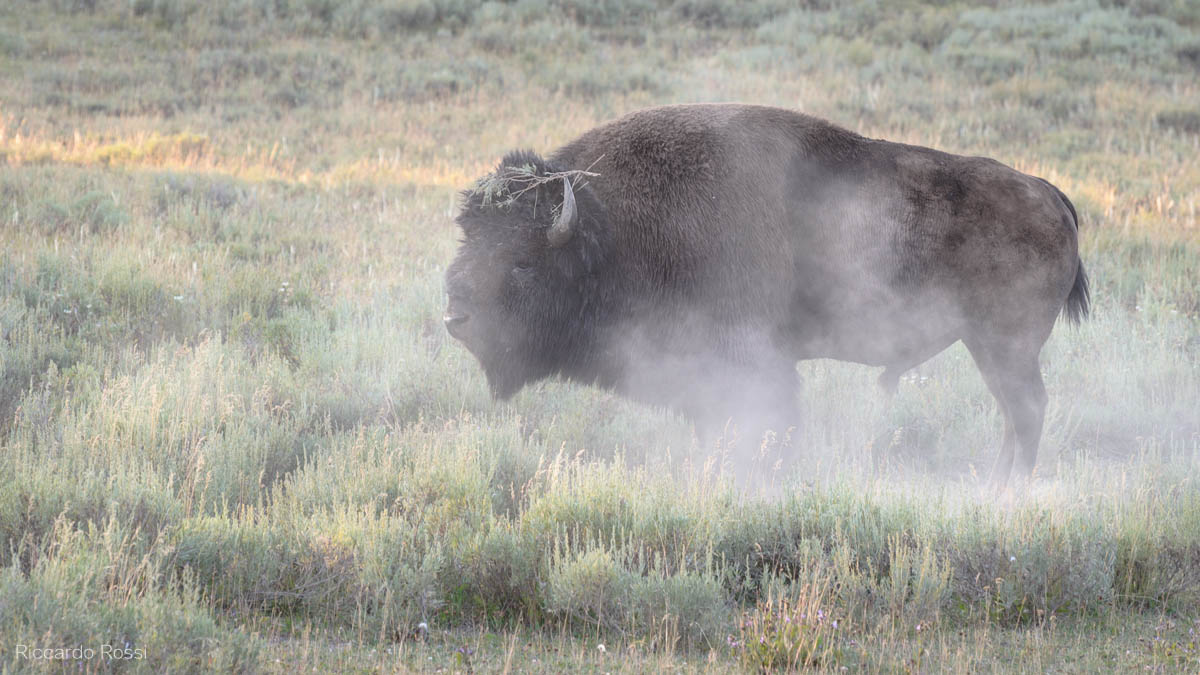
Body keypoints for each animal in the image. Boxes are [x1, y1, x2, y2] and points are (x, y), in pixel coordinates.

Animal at [444, 103, 1089, 488]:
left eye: (523, 263)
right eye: (468, 238)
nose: (456, 316)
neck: (608, 225)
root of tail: (1050, 194)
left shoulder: (746, 363)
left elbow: (760, 425)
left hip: (1005, 346)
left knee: (1026, 412)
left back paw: (1007, 494)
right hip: (989, 348)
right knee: (1013, 415)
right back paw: (993, 487)